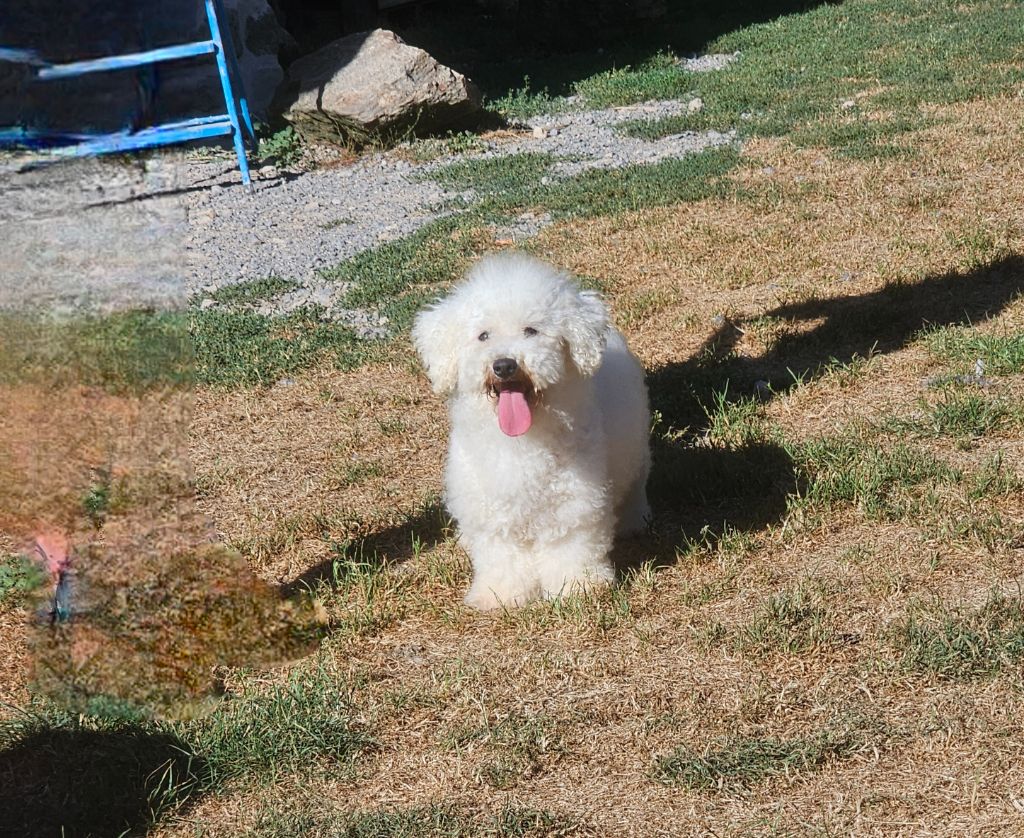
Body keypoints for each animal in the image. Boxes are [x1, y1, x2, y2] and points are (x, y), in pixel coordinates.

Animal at [411, 249, 651, 606]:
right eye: (483, 335)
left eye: (531, 330)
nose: (504, 365)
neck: (521, 439)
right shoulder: (491, 505)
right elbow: (502, 553)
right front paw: (501, 594)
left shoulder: (573, 499)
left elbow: (569, 544)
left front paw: (577, 586)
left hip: (634, 445)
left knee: (635, 482)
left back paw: (634, 520)